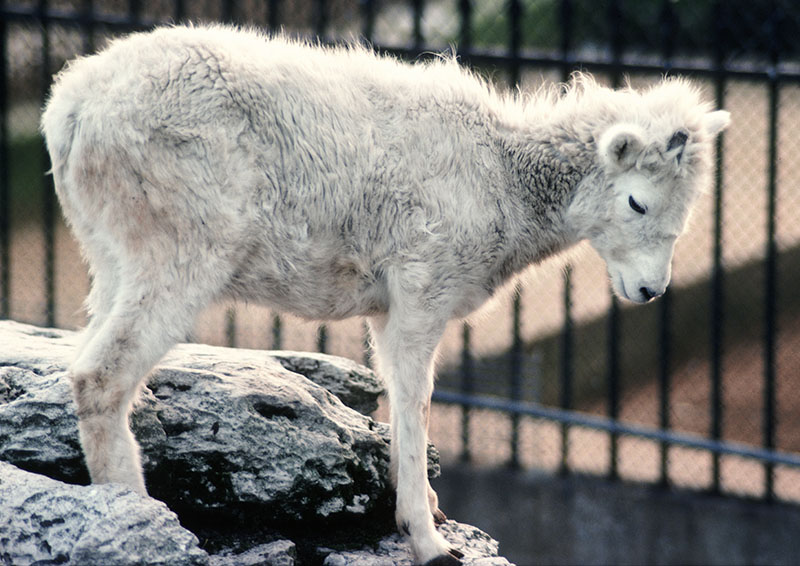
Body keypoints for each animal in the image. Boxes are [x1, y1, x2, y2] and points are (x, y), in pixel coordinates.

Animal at [40, 24, 730, 565]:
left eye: (687, 209)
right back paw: (140, 515)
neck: (501, 177)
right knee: (99, 375)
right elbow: (416, 402)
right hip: (180, 259)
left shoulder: (387, 311)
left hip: (113, 261)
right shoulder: (421, 299)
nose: (649, 289)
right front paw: (429, 542)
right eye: (637, 201)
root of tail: (70, 109)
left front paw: (424, 510)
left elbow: (398, 403)